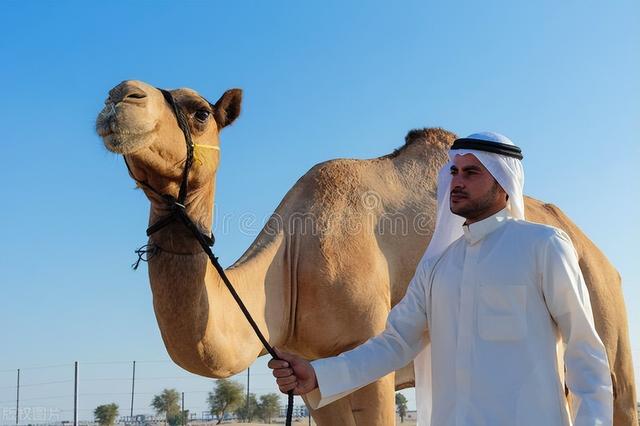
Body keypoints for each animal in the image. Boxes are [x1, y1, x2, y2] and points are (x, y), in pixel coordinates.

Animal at [94, 80, 636, 426]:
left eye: (200, 111)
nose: (120, 95)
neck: (291, 263)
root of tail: (595, 250)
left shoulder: (369, 353)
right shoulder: (315, 372)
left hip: (605, 319)